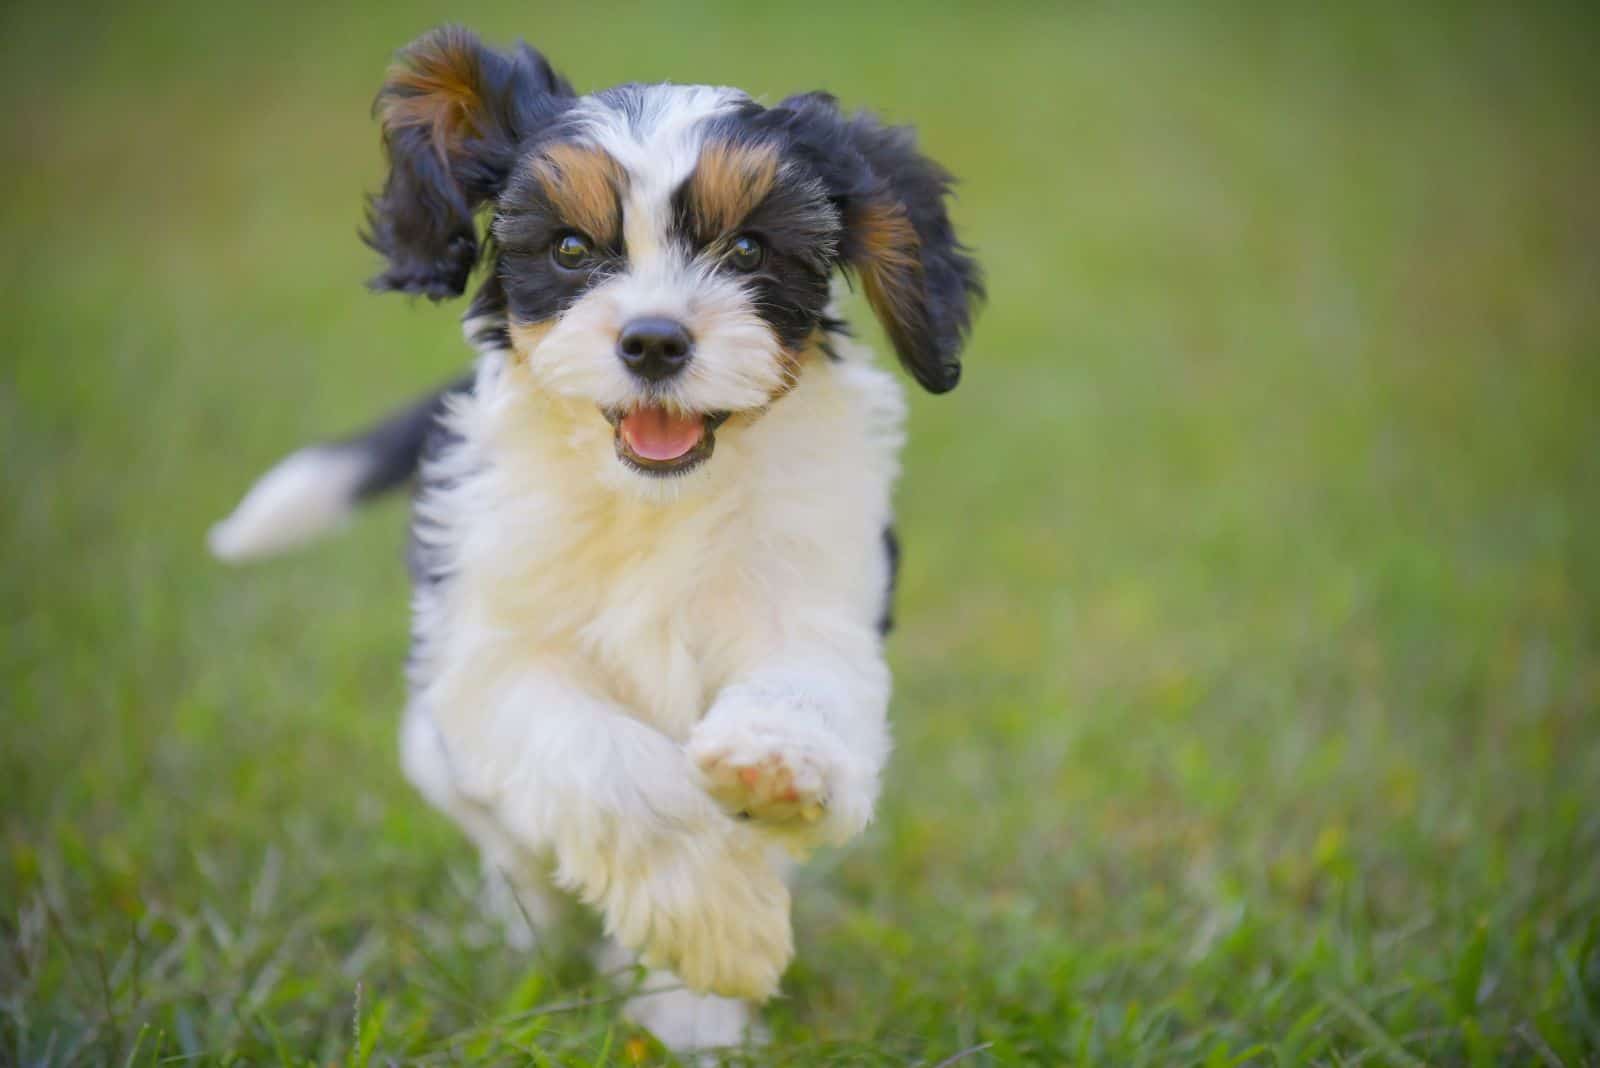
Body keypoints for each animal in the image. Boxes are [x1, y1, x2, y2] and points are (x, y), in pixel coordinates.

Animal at [208, 24, 979, 1048]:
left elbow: (800, 689)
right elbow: (613, 770)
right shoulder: (493, 660)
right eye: (571, 248)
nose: (653, 342)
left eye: (749, 246)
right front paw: (721, 929)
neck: (652, 505)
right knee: (519, 858)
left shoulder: (818, 598)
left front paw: (772, 771)